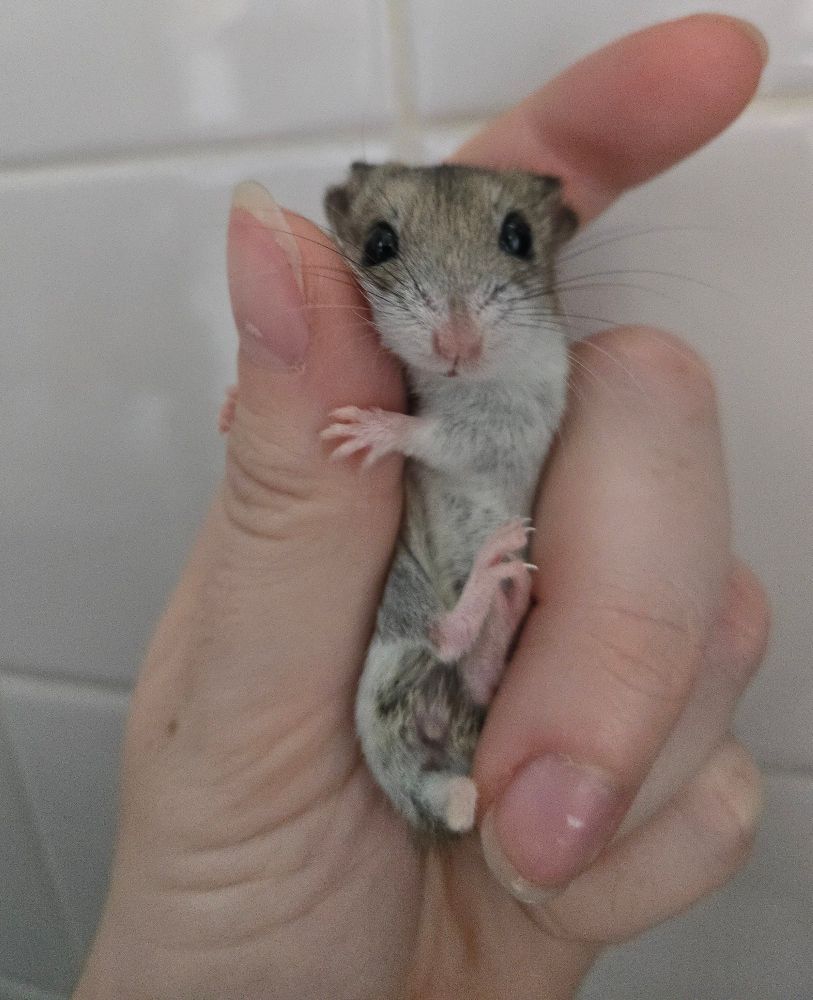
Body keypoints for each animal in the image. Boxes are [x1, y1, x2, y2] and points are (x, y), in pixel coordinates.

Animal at [321, 163, 577, 836]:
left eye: (518, 237)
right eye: (379, 244)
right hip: (400, 600)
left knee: (449, 642)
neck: (454, 384)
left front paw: (366, 431)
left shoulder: (500, 426)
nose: (456, 344)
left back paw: (500, 571)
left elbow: (432, 434)